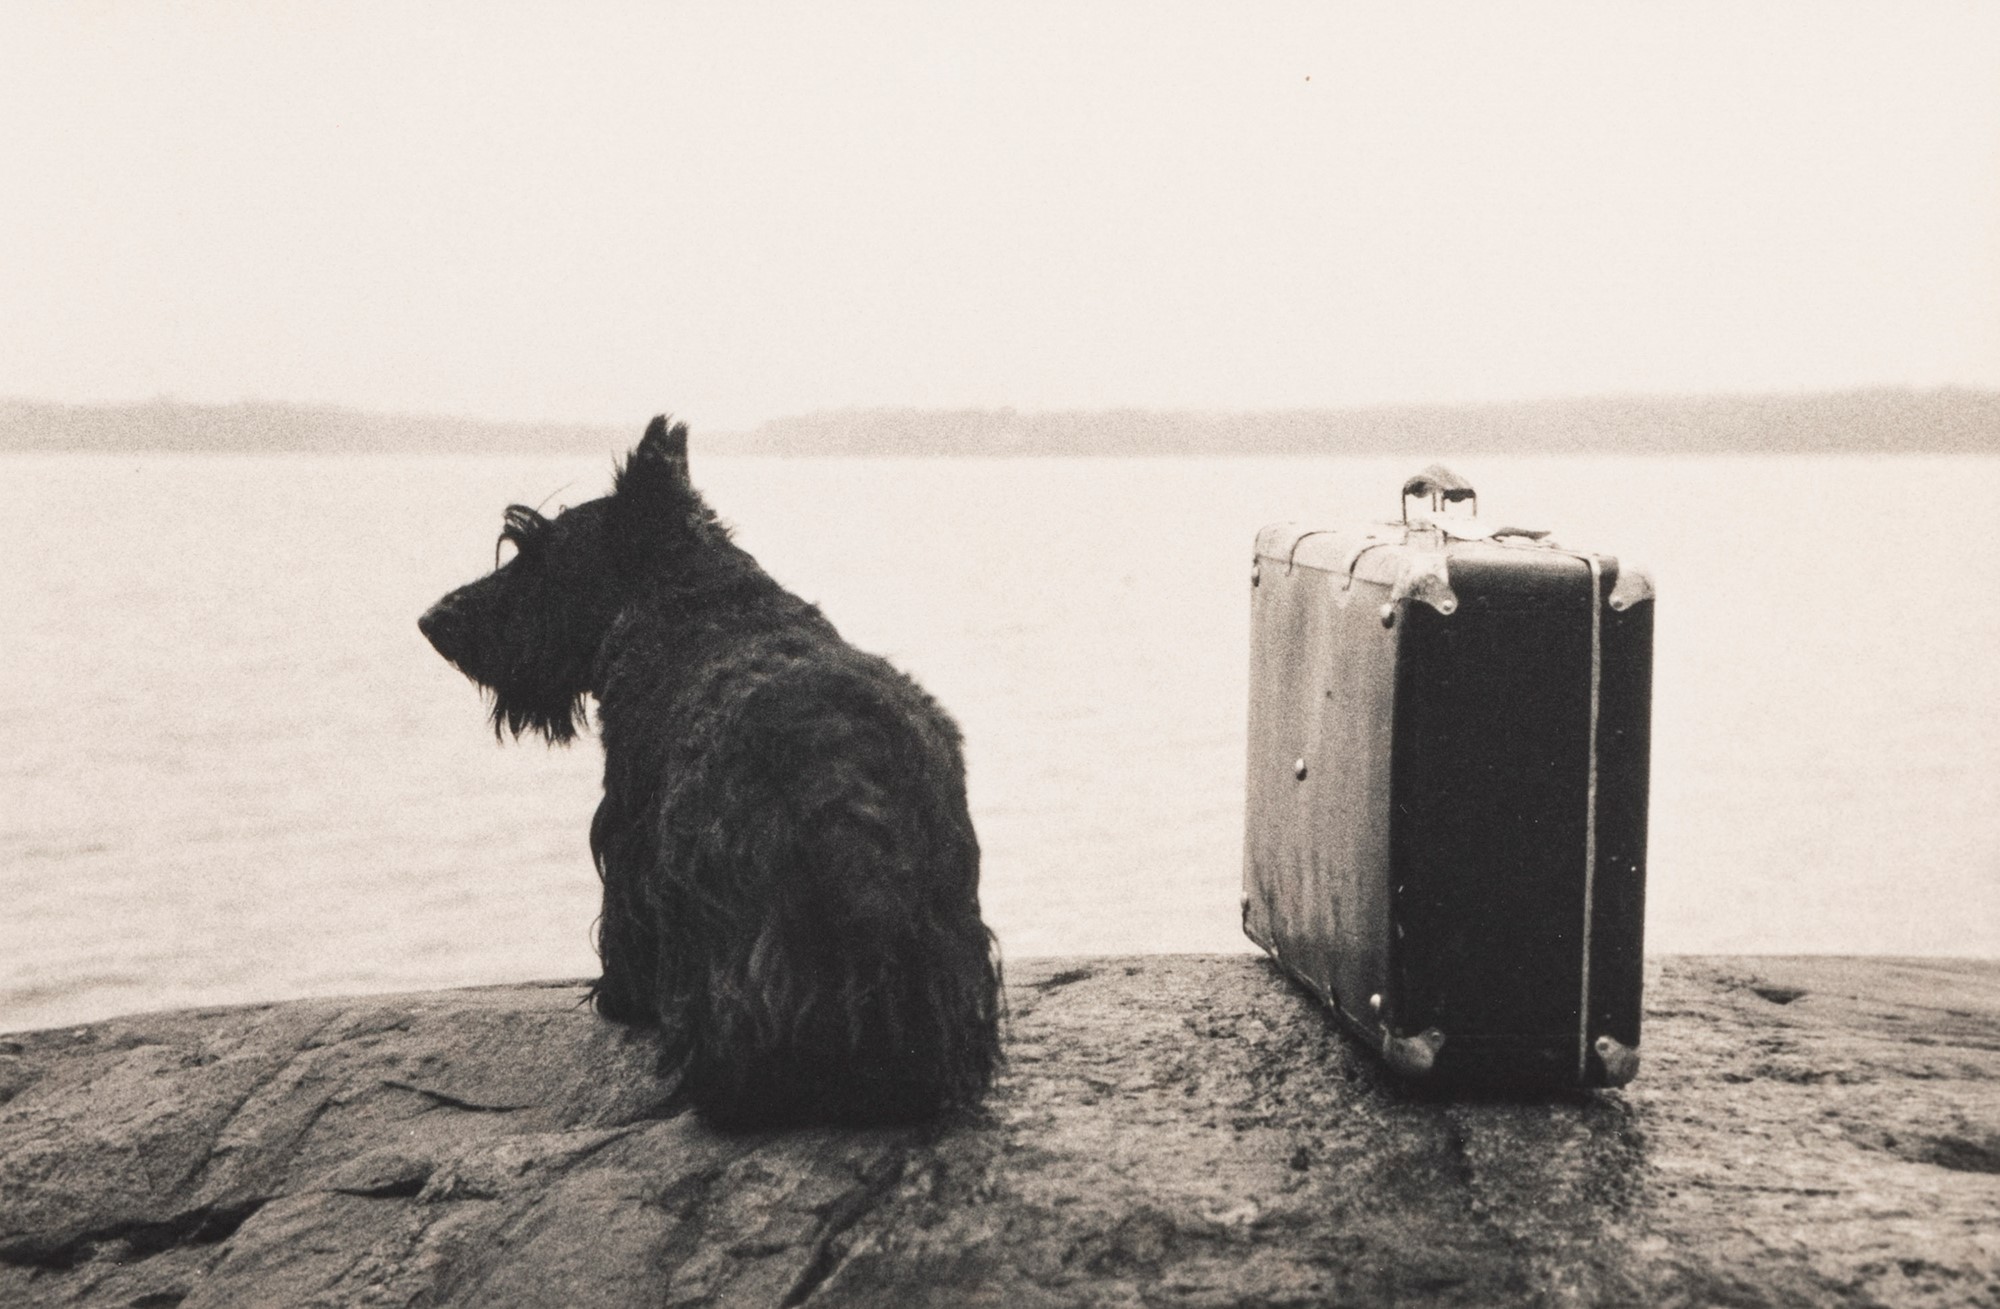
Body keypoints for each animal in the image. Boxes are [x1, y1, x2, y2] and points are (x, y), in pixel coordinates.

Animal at [419, 416, 1002, 1127]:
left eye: (537, 554)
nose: (433, 620)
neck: (692, 594)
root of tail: (847, 779)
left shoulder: (628, 829)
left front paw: (620, 998)